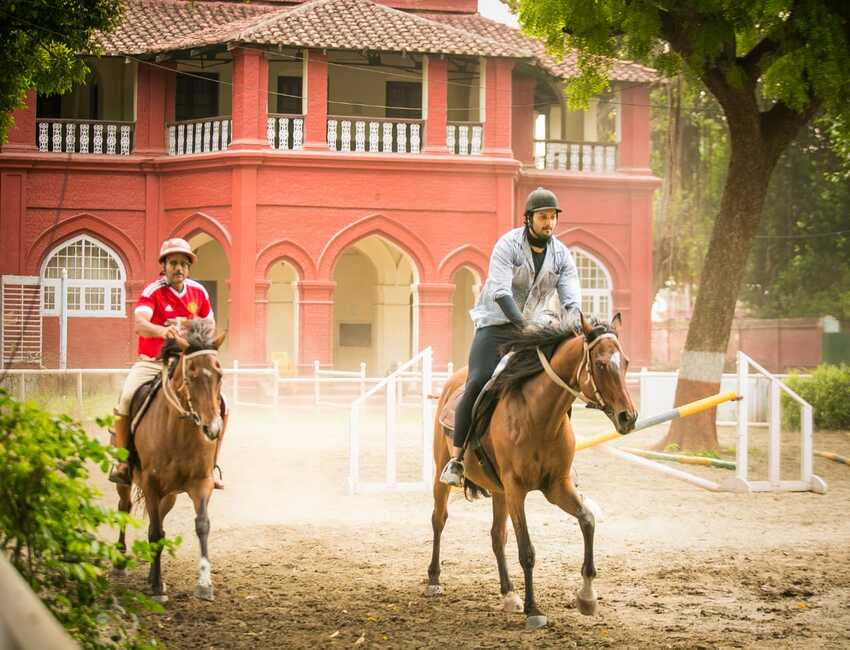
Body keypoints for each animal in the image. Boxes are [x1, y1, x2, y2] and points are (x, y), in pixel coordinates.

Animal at [117, 322, 229, 600]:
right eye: (191, 375)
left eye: (220, 375)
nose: (213, 428)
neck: (179, 430)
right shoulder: (150, 483)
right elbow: (156, 532)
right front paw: (158, 587)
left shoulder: (201, 482)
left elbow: (202, 525)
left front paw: (204, 583)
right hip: (127, 482)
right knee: (124, 508)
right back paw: (120, 561)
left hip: (168, 495)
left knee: (157, 521)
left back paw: (150, 574)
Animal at [428, 314, 632, 628]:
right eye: (599, 364)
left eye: (626, 363)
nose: (628, 417)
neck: (539, 417)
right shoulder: (516, 489)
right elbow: (527, 550)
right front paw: (533, 609)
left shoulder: (556, 486)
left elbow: (587, 520)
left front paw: (586, 596)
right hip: (443, 474)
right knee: (439, 520)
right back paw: (435, 580)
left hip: (499, 491)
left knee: (497, 536)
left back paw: (508, 593)